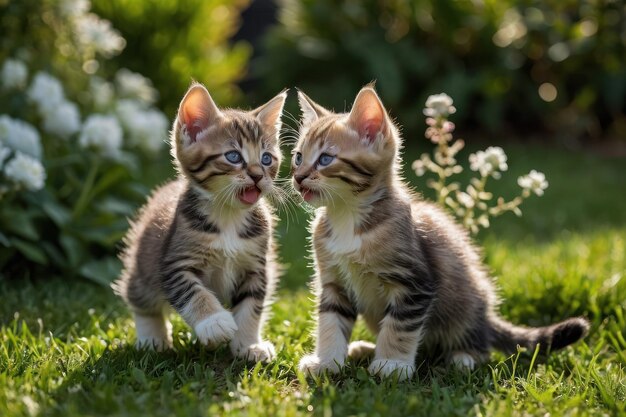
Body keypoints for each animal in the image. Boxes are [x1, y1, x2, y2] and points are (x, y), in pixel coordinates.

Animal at [290, 85, 588, 380]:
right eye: (298, 157)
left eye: (325, 159)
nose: (298, 177)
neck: (347, 216)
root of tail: (487, 317)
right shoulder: (333, 280)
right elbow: (331, 320)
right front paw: (327, 362)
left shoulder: (415, 283)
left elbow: (399, 326)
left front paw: (392, 365)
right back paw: (364, 349)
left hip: (466, 304)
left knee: (481, 345)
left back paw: (463, 358)